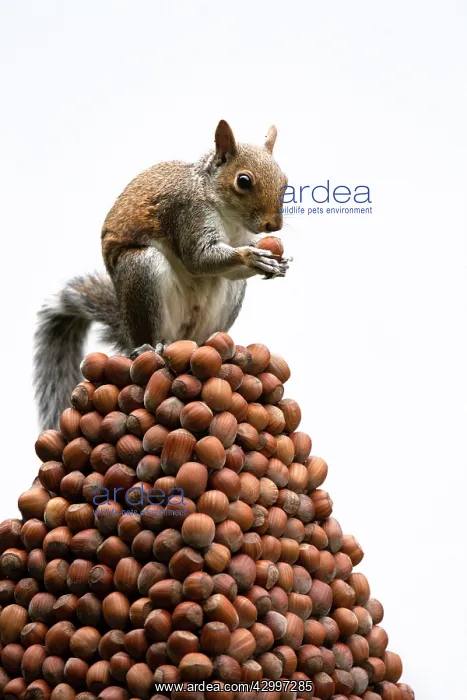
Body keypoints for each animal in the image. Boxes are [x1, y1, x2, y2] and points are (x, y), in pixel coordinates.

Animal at [34, 120, 289, 430]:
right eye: (243, 181)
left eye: (284, 180)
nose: (274, 226)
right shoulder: (187, 213)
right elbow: (199, 258)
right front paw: (252, 257)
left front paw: (276, 264)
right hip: (143, 272)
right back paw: (150, 348)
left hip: (221, 309)